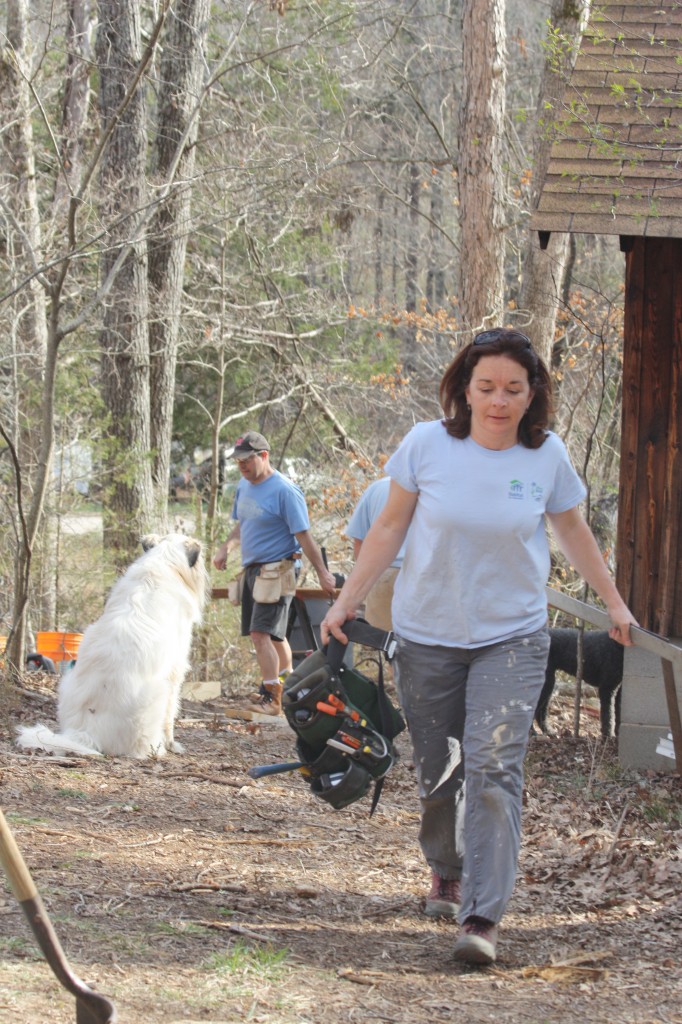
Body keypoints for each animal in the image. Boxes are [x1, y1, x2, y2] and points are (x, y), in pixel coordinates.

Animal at [15, 536, 205, 761]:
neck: (163, 562)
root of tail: (87, 733)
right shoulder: (175, 670)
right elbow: (171, 714)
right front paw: (172, 744)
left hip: (66, 683)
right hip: (157, 692)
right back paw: (156, 749)